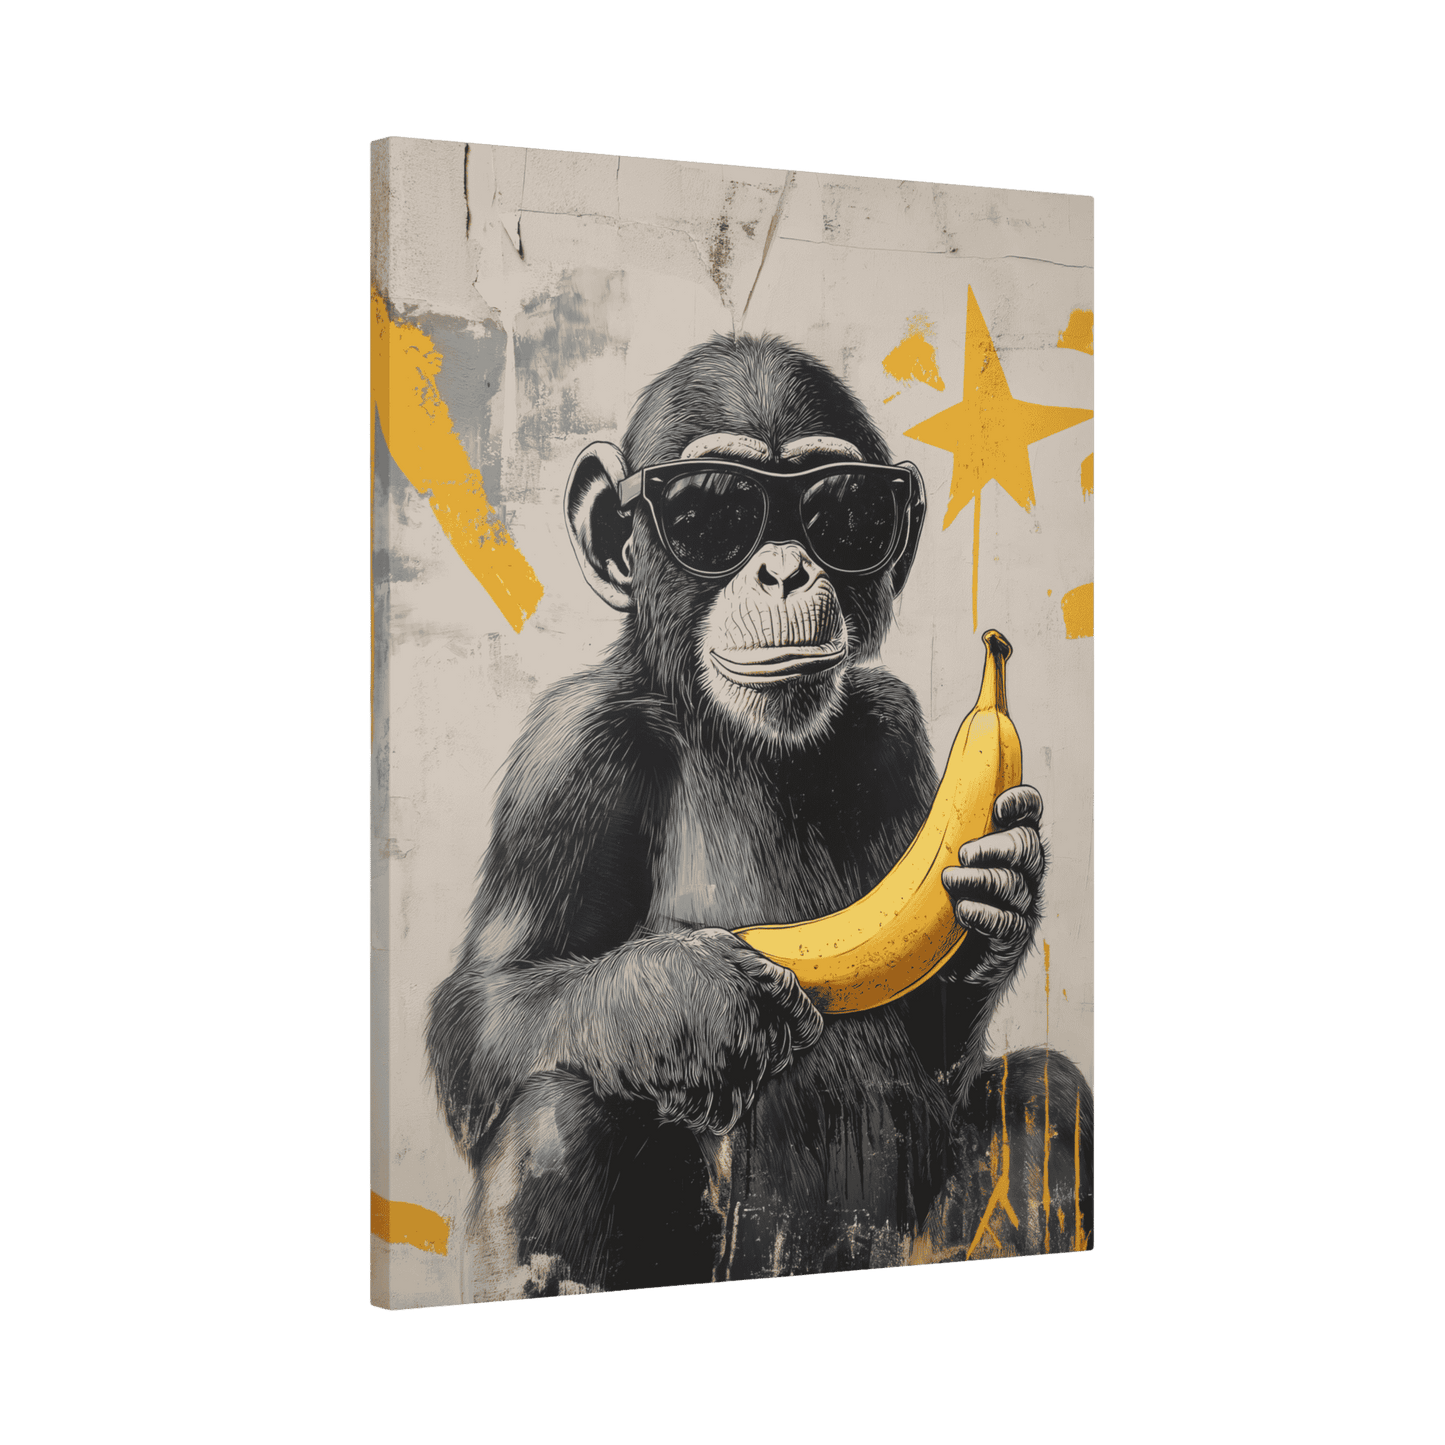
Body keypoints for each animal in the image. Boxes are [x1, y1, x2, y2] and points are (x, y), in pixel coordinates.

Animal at [427, 334, 1094, 1297]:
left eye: (845, 510)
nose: (784, 567)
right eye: (711, 508)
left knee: (1043, 1093)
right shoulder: (571, 747)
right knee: (558, 1104)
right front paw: (683, 1002)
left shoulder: (894, 731)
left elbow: (935, 1046)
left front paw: (1001, 893)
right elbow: (482, 1004)